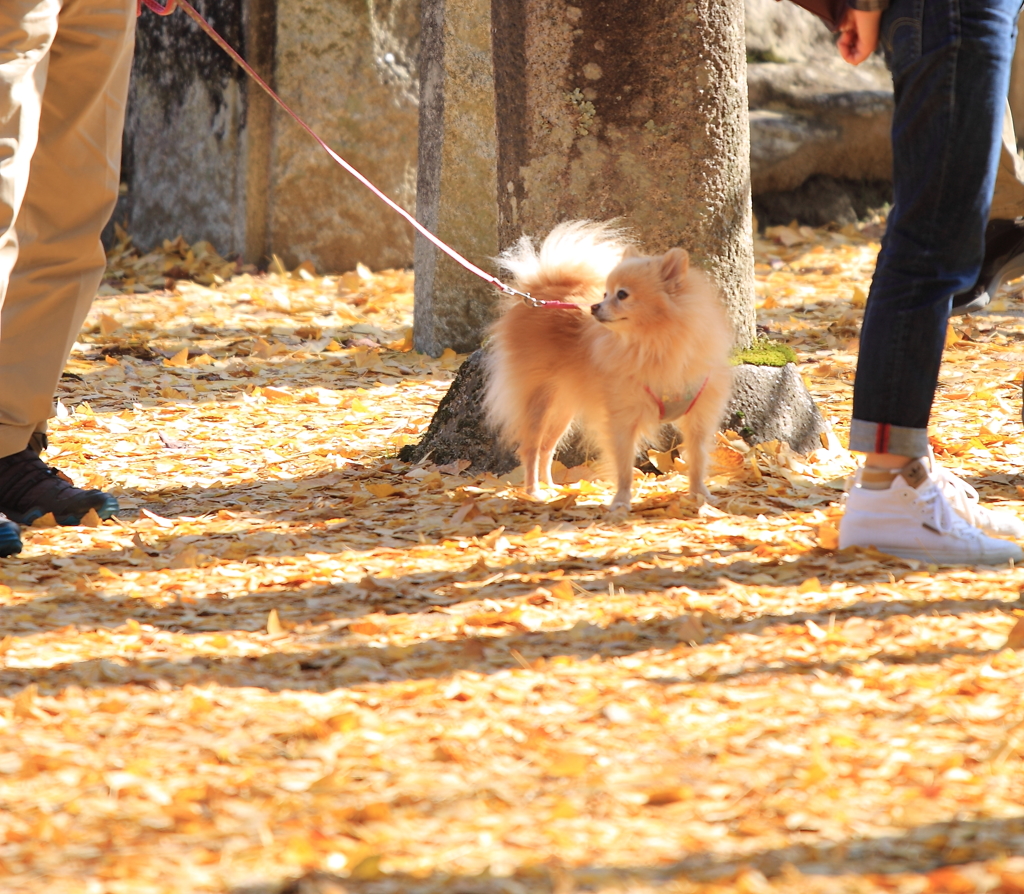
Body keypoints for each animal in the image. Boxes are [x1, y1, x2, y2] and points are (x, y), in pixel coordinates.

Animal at [483, 220, 733, 505]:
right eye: (605, 293)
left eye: (621, 295)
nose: (594, 306)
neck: (653, 344)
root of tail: (538, 292)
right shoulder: (623, 416)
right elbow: (623, 465)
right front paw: (621, 501)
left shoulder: (699, 416)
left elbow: (698, 459)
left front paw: (701, 495)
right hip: (539, 400)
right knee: (532, 448)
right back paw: (534, 491)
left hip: (562, 405)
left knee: (547, 447)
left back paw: (552, 488)